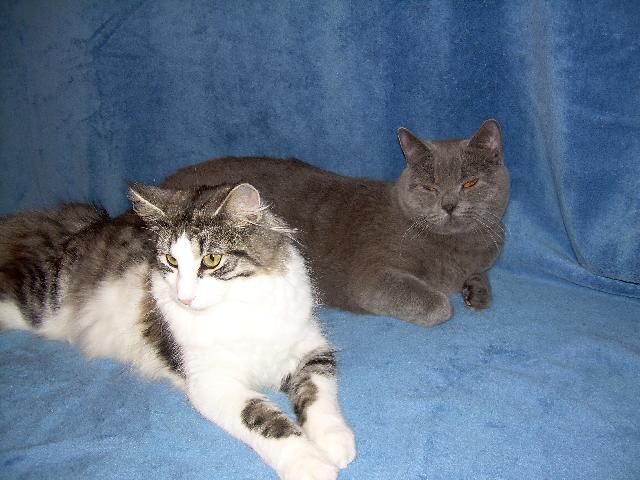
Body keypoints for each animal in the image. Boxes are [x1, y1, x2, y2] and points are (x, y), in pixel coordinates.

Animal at [0, 183, 356, 480]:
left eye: (211, 260)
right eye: (171, 260)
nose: (185, 297)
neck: (236, 309)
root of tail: (87, 225)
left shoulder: (310, 348)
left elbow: (319, 397)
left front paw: (335, 443)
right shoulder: (212, 383)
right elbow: (265, 420)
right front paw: (310, 463)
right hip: (42, 301)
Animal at [162, 119, 510, 326]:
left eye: (470, 183)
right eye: (430, 188)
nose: (449, 205)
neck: (457, 245)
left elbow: (481, 274)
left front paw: (478, 292)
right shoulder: (372, 277)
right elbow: (440, 305)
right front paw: (449, 300)